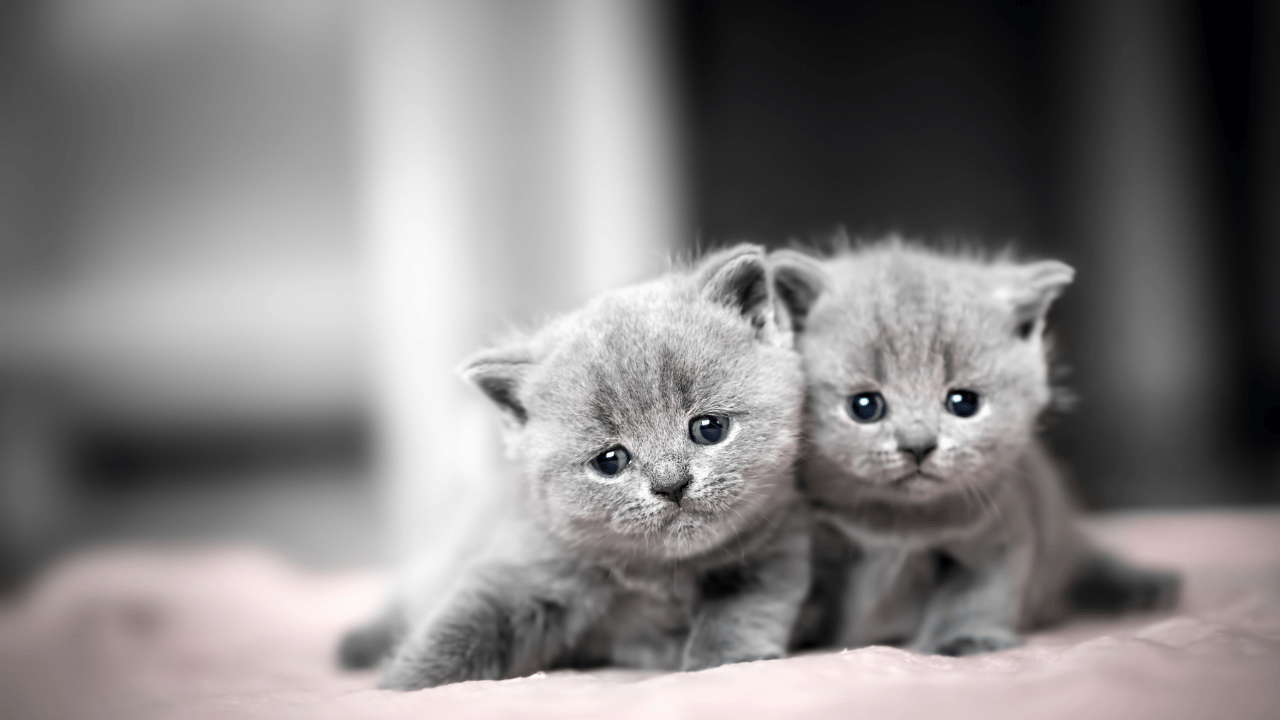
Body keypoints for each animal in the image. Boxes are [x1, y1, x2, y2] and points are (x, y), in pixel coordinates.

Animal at [335, 243, 803, 686]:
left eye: (709, 428)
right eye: (610, 460)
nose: (671, 483)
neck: (660, 575)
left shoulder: (774, 546)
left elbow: (743, 610)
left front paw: (724, 661)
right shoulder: (526, 564)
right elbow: (457, 628)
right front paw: (397, 687)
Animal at [768, 238, 1177, 653]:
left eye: (964, 403)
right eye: (864, 406)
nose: (918, 445)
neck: (899, 524)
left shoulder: (1000, 532)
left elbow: (977, 595)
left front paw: (965, 639)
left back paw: (1141, 588)